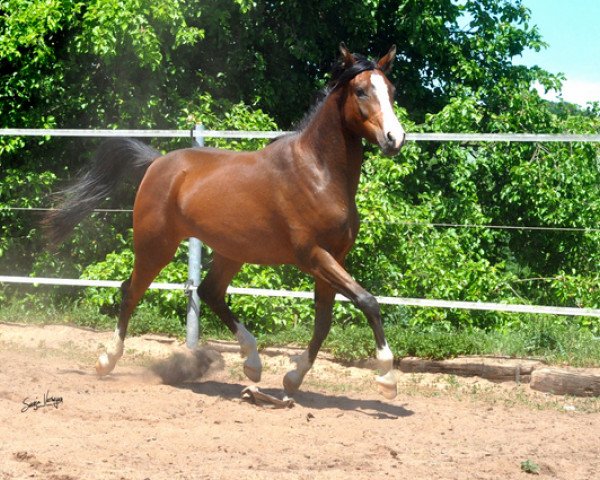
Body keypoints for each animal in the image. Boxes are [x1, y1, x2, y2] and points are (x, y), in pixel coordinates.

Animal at [44, 44, 406, 398]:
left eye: (391, 90)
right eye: (360, 91)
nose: (395, 138)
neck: (318, 174)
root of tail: (157, 163)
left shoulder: (334, 257)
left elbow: (324, 321)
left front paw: (293, 378)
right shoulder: (313, 255)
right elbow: (368, 301)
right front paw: (387, 378)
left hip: (231, 252)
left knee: (209, 292)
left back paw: (252, 364)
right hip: (155, 246)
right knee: (131, 291)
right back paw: (107, 360)